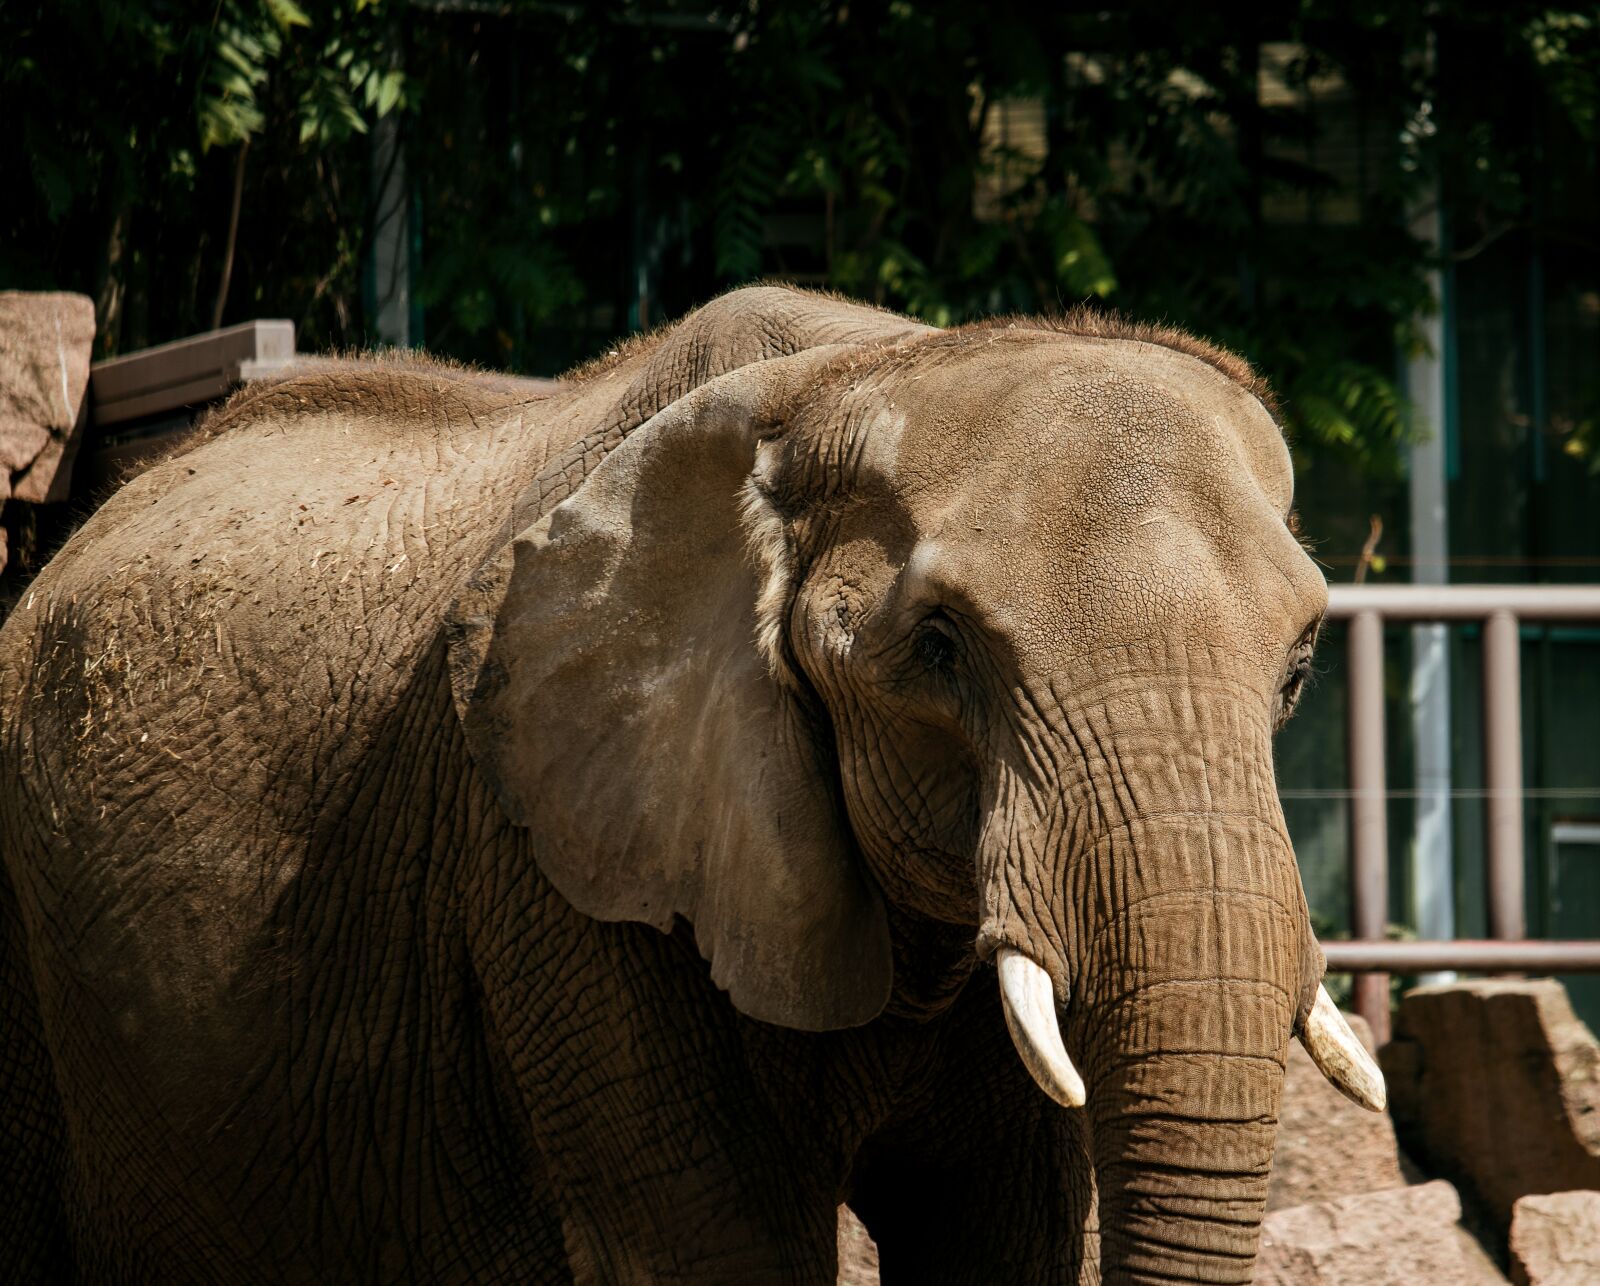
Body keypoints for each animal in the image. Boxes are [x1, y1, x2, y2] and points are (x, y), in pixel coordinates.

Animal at [0, 285, 1383, 1284]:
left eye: (1299, 666)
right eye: (939, 649)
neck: (858, 373)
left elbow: (1003, 1233)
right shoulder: (555, 868)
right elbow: (718, 1249)